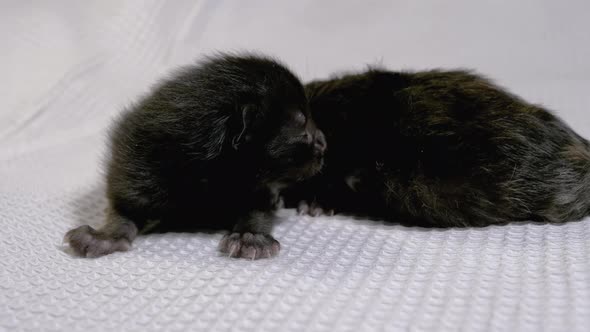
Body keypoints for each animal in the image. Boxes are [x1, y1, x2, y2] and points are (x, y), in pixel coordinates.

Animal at [65, 53, 328, 258]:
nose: (324, 143)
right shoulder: (135, 166)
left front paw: (251, 235)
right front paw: (106, 235)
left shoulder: (258, 185)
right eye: (302, 126)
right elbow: (123, 208)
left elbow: (258, 208)